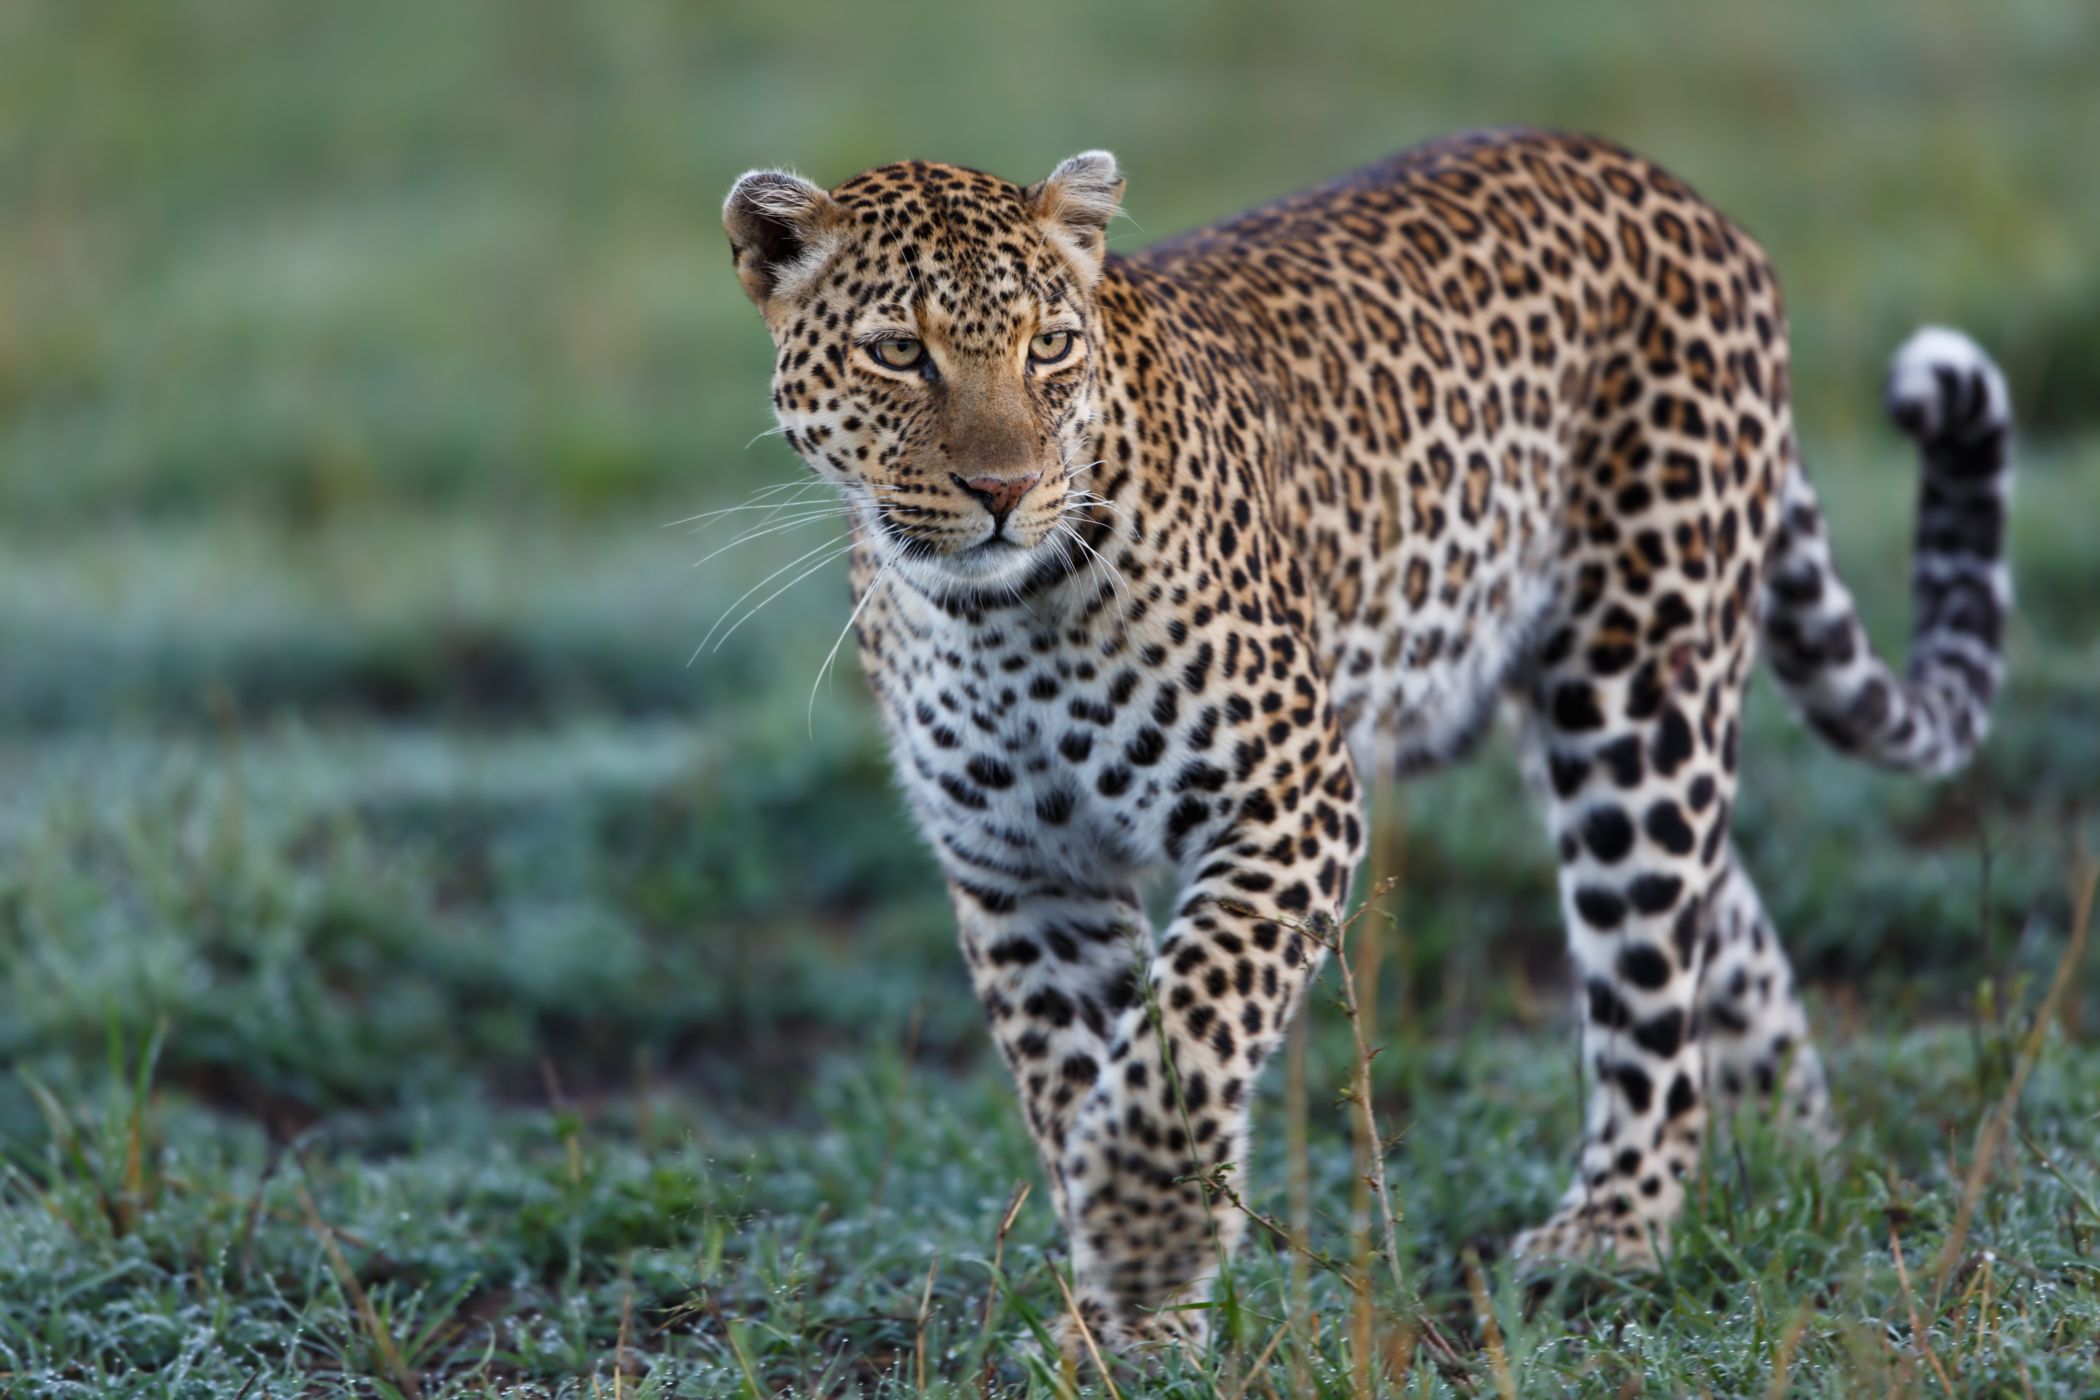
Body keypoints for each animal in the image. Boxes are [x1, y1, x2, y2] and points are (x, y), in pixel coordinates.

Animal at [721, 128, 2013, 1362]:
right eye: (900, 352)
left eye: (1049, 346)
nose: (1005, 487)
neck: (992, 615)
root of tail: (1684, 196)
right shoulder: (1023, 871)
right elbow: (1083, 1073)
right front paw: (1132, 1315)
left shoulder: (1289, 795)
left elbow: (1185, 1036)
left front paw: (1150, 1241)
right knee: (1717, 924)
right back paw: (1801, 1168)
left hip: (1637, 680)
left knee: (1648, 976)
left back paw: (1615, 1232)